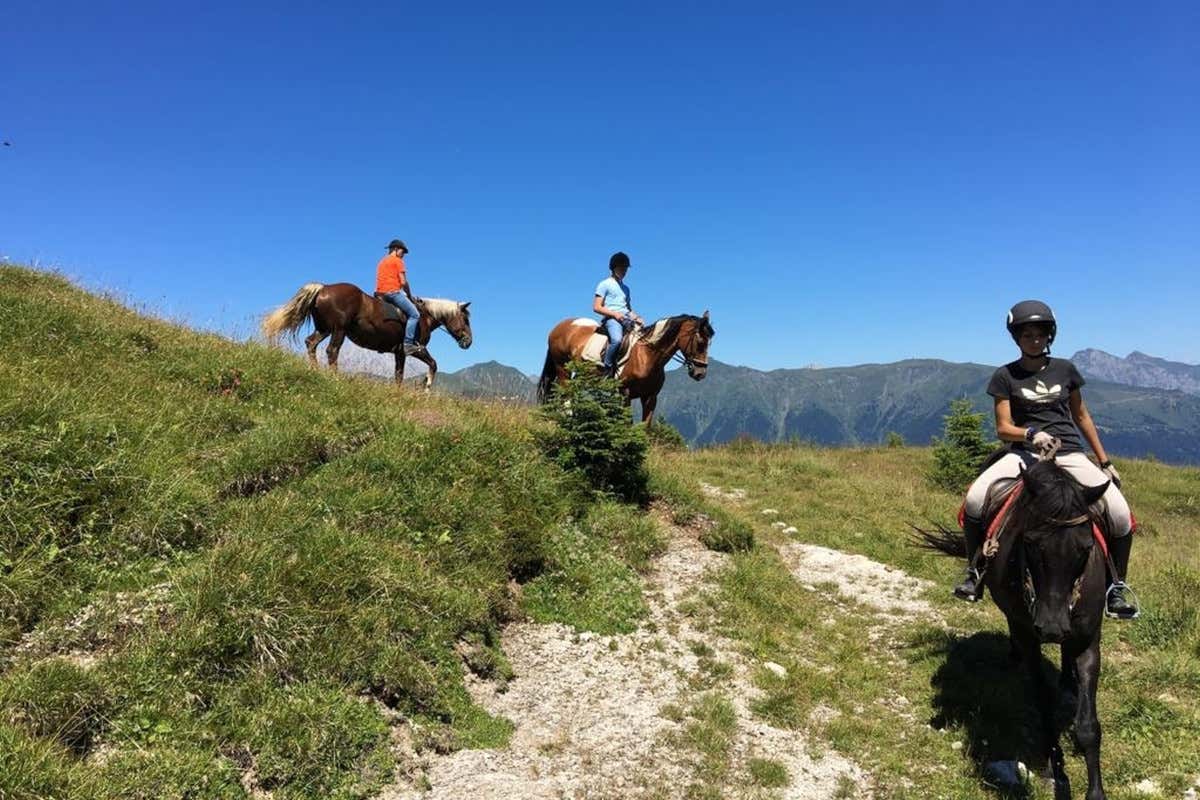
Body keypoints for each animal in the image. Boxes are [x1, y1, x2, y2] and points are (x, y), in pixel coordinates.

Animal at [261, 282, 472, 388]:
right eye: (466, 319)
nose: (468, 342)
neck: (424, 317)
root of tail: (323, 287)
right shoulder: (415, 348)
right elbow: (433, 364)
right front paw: (426, 387)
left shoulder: (399, 353)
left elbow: (398, 375)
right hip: (339, 329)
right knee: (332, 351)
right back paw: (334, 379)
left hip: (324, 329)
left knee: (311, 343)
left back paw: (315, 371)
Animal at [536, 312, 713, 424]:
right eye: (700, 342)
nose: (700, 373)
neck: (646, 356)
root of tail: (558, 327)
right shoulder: (625, 394)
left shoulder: (650, 397)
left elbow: (645, 428)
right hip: (562, 368)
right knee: (565, 396)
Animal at [918, 456, 1115, 800]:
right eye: (1031, 543)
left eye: (1085, 547)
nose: (1052, 627)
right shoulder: (1029, 634)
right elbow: (1043, 704)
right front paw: (1056, 765)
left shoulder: (1088, 639)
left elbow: (1089, 725)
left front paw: (1095, 791)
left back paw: (1068, 680)